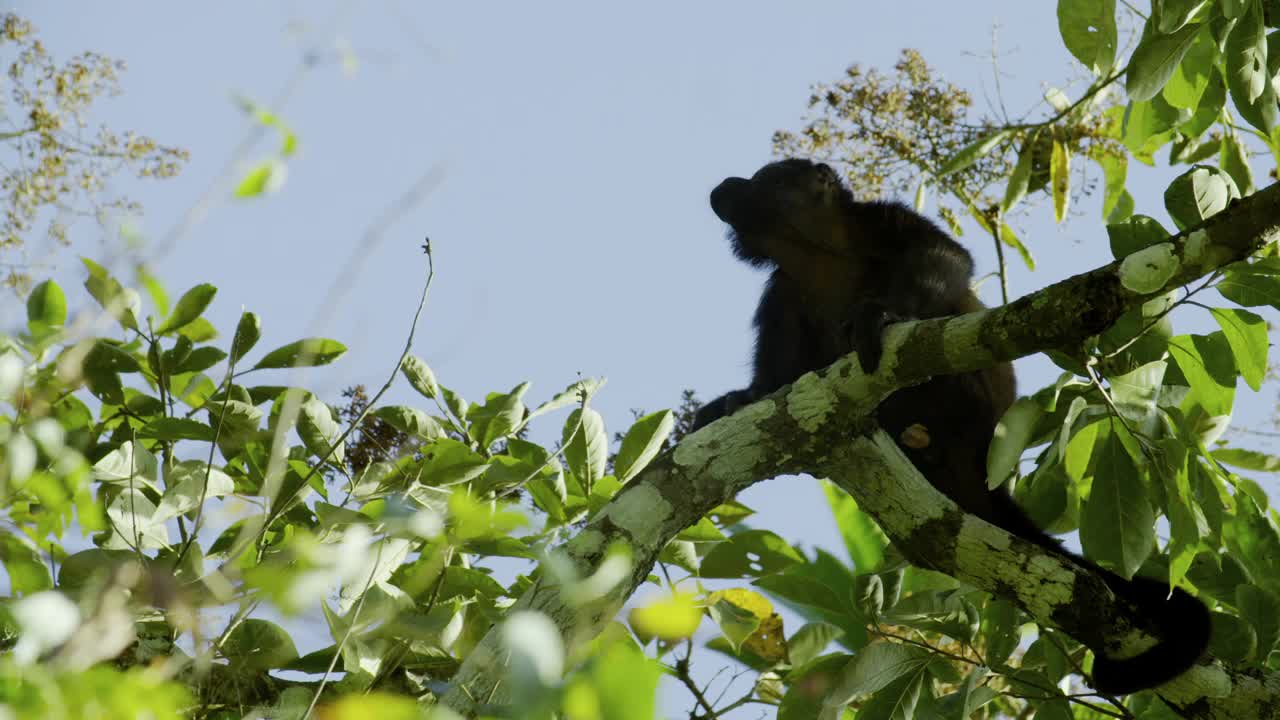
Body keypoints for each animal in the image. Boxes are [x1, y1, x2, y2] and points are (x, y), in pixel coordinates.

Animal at [701, 155, 1208, 691]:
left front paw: (879, 313)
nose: (727, 186)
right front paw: (737, 401)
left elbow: (945, 258)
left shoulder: (883, 219)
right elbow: (776, 382)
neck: (814, 252)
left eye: (764, 179)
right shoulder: (780, 296)